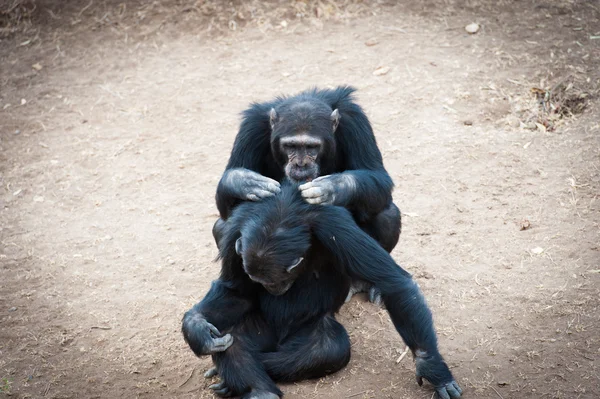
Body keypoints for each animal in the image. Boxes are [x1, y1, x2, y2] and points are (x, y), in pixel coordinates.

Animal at [183, 184, 464, 399]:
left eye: (272, 281)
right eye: (261, 282)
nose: (273, 289)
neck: (279, 215)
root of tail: (279, 340)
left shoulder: (336, 227)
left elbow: (392, 282)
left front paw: (433, 369)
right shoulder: (235, 233)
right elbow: (236, 291)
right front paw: (197, 329)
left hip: (311, 327)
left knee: (328, 349)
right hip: (262, 327)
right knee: (233, 340)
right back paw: (257, 390)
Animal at [213, 85, 400, 304]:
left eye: (312, 147)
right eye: (290, 146)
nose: (300, 164)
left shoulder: (355, 120)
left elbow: (378, 176)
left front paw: (333, 187)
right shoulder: (250, 128)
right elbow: (228, 205)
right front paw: (244, 182)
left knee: (387, 214)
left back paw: (366, 283)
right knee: (222, 225)